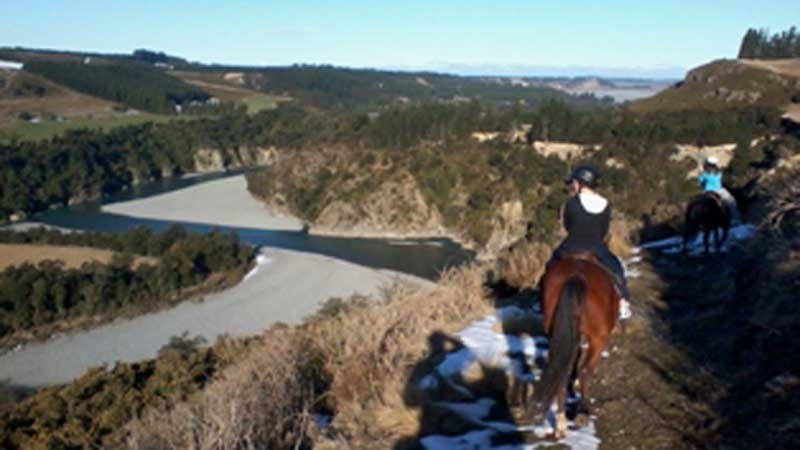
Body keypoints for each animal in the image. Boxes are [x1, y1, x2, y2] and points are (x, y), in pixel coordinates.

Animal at [524, 255, 620, 438]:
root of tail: (576, 276)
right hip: (598, 339)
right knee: (585, 371)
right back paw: (583, 411)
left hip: (554, 332)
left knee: (560, 375)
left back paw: (561, 423)